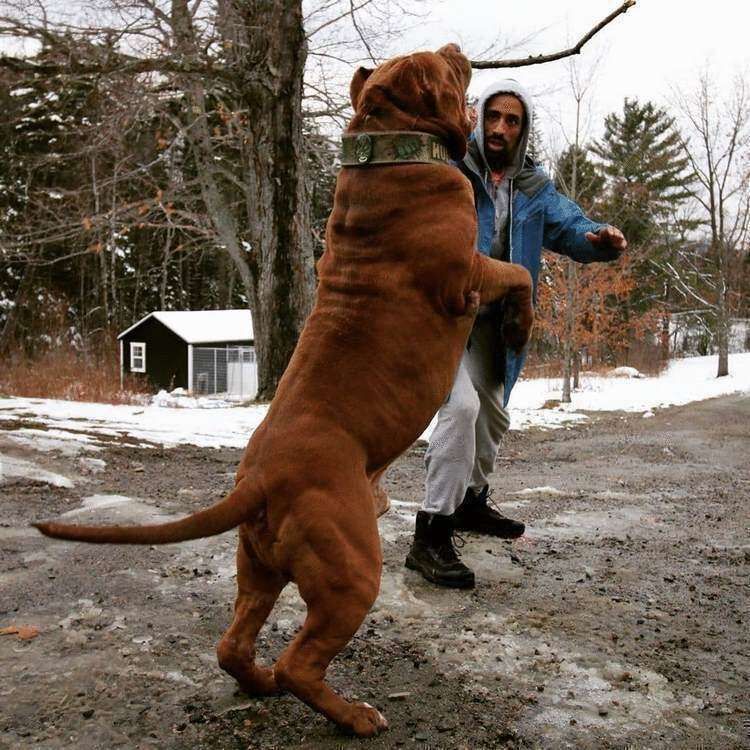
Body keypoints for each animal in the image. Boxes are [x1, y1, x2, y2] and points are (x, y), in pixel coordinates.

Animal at [29, 44, 536, 744]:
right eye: (438, 63)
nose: (459, 48)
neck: (385, 143)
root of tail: (260, 481)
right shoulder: (467, 276)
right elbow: (519, 274)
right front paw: (519, 322)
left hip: (259, 569)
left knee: (233, 645)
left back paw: (261, 684)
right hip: (351, 573)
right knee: (301, 660)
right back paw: (354, 715)